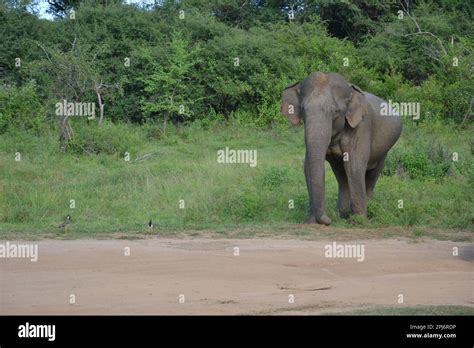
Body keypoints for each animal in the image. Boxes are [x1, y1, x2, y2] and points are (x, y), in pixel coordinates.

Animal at [282, 71, 404, 224]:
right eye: (303, 109)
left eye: (336, 111)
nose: (329, 219)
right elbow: (307, 166)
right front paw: (311, 222)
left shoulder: (361, 126)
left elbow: (354, 165)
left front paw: (358, 221)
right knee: (342, 176)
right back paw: (342, 214)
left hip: (385, 150)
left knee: (372, 175)